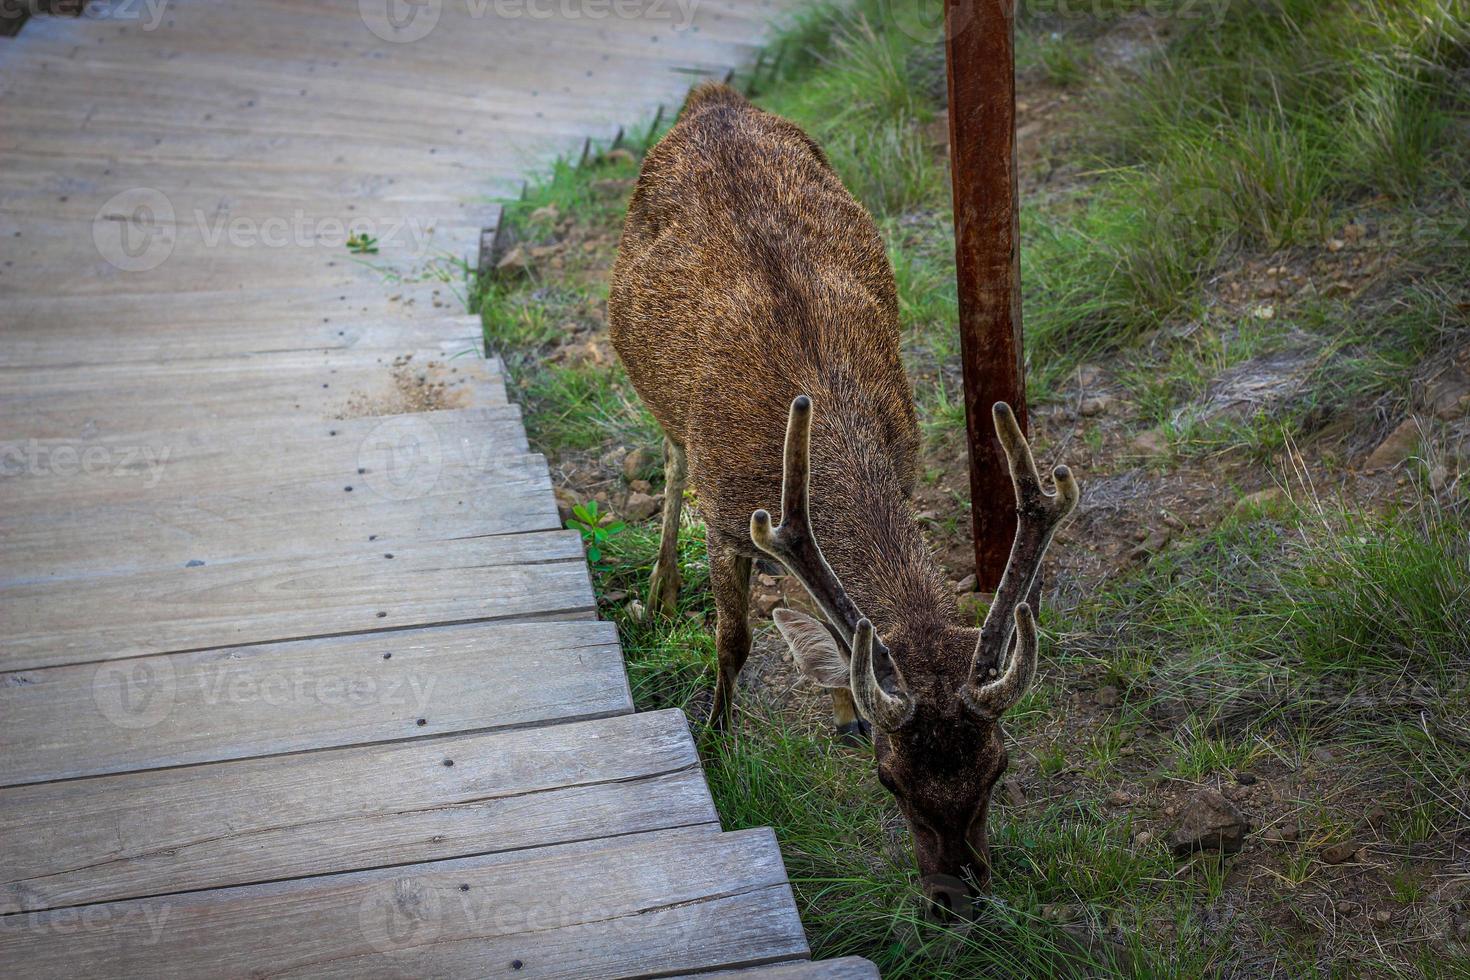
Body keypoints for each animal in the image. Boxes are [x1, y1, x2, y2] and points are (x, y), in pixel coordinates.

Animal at [608, 86, 1081, 922]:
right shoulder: (726, 516)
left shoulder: (901, 464)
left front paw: (845, 704)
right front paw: (718, 738)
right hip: (645, 379)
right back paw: (660, 590)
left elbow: (836, 616)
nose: (958, 901)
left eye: (998, 767)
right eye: (891, 781)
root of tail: (710, 96)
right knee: (668, 451)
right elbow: (734, 640)